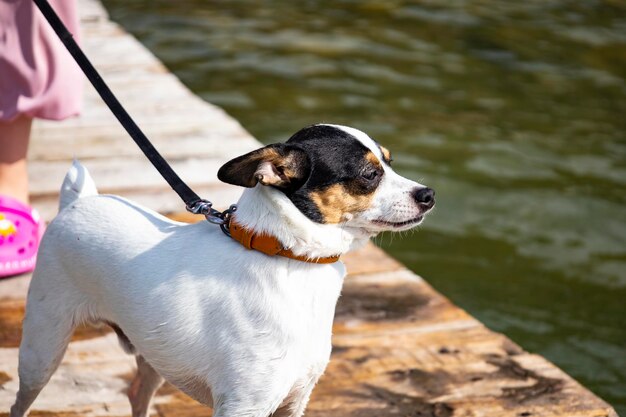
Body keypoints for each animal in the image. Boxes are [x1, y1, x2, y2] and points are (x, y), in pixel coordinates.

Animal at [9, 123, 434, 416]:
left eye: (390, 163)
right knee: (21, 402)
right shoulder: (244, 406)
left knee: (137, 393)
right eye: (369, 175)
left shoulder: (294, 401)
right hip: (42, 351)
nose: (429, 194)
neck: (286, 256)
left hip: (154, 354)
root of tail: (79, 202)